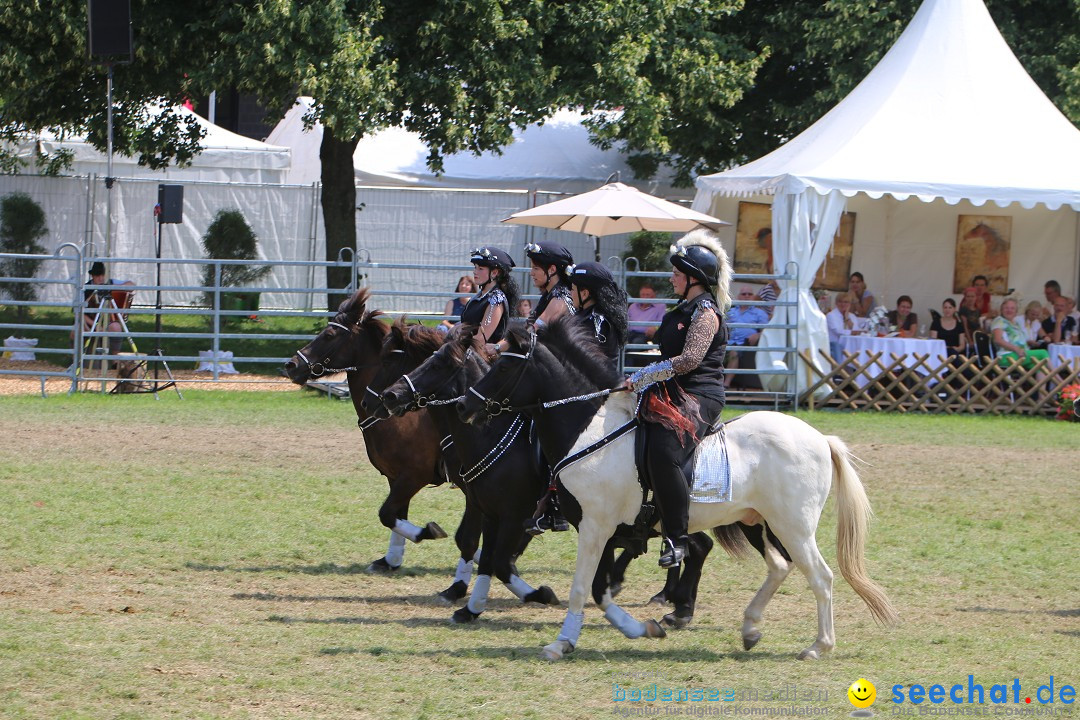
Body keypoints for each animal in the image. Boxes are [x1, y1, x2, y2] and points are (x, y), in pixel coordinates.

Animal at [460, 323, 898, 660]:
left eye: (503, 364)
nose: (467, 404)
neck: (589, 430)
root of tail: (821, 439)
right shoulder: (601, 530)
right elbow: (600, 589)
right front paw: (641, 628)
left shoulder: (595, 528)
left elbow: (583, 587)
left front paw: (562, 642)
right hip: (757, 522)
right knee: (779, 566)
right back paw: (750, 628)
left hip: (793, 526)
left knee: (820, 577)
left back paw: (818, 646)